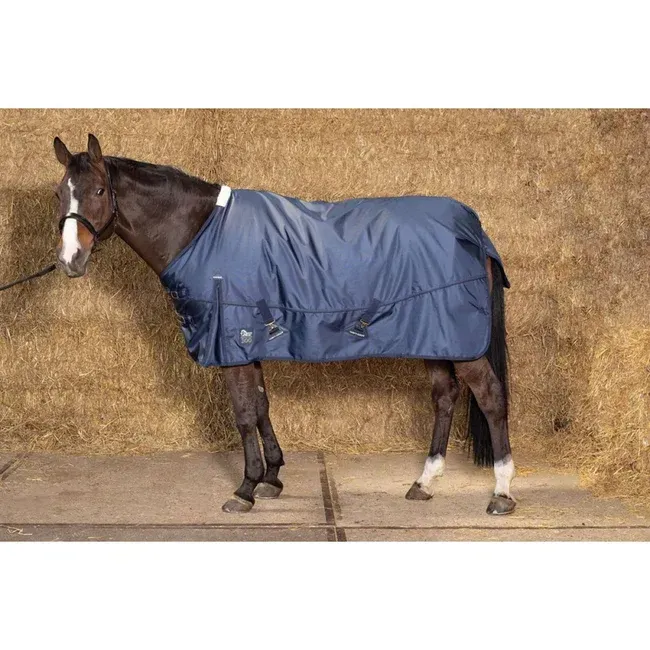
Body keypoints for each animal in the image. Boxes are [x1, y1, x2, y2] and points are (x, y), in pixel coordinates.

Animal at [51, 134, 516, 516]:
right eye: (59, 193)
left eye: (98, 190)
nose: (70, 260)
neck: (201, 231)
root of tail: (474, 228)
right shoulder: (250, 342)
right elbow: (261, 406)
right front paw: (271, 478)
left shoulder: (233, 341)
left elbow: (243, 413)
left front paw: (245, 488)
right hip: (434, 338)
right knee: (445, 397)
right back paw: (424, 483)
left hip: (461, 342)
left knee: (490, 396)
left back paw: (501, 493)